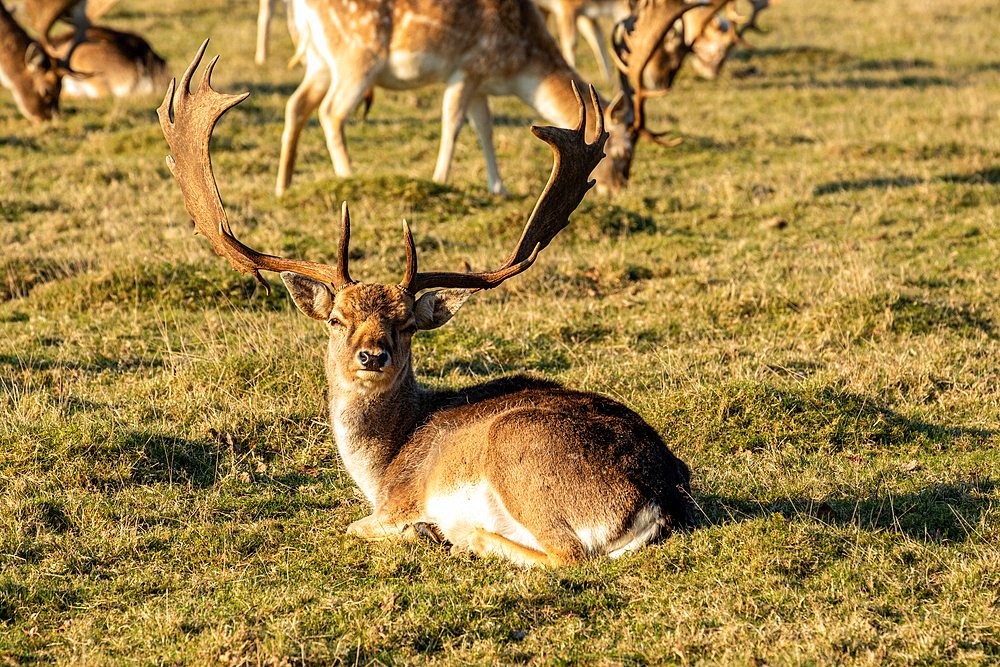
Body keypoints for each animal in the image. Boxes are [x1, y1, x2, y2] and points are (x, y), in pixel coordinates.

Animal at [162, 41, 696, 568]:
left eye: (406, 324)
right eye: (336, 319)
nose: (371, 356)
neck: (381, 465)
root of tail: (659, 497)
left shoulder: (399, 497)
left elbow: (355, 525)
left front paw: (420, 531)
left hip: (517, 455)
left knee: (569, 553)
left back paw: (460, 536)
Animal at [278, 0, 704, 198]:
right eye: (620, 151)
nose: (619, 188)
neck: (517, 67)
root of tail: (298, 8)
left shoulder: (481, 83)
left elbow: (484, 128)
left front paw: (498, 187)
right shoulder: (467, 68)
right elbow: (452, 122)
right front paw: (440, 179)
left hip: (319, 60)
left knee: (296, 105)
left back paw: (283, 185)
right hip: (356, 56)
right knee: (331, 112)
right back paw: (348, 175)